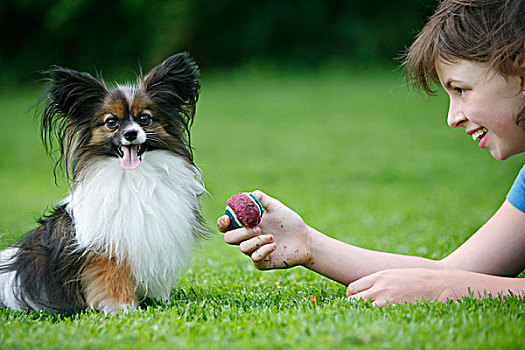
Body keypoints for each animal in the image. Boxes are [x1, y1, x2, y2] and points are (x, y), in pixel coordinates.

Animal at [0, 52, 208, 314]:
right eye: (112, 122)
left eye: (144, 119)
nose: (131, 134)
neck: (135, 178)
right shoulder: (106, 247)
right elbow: (113, 278)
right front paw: (122, 308)